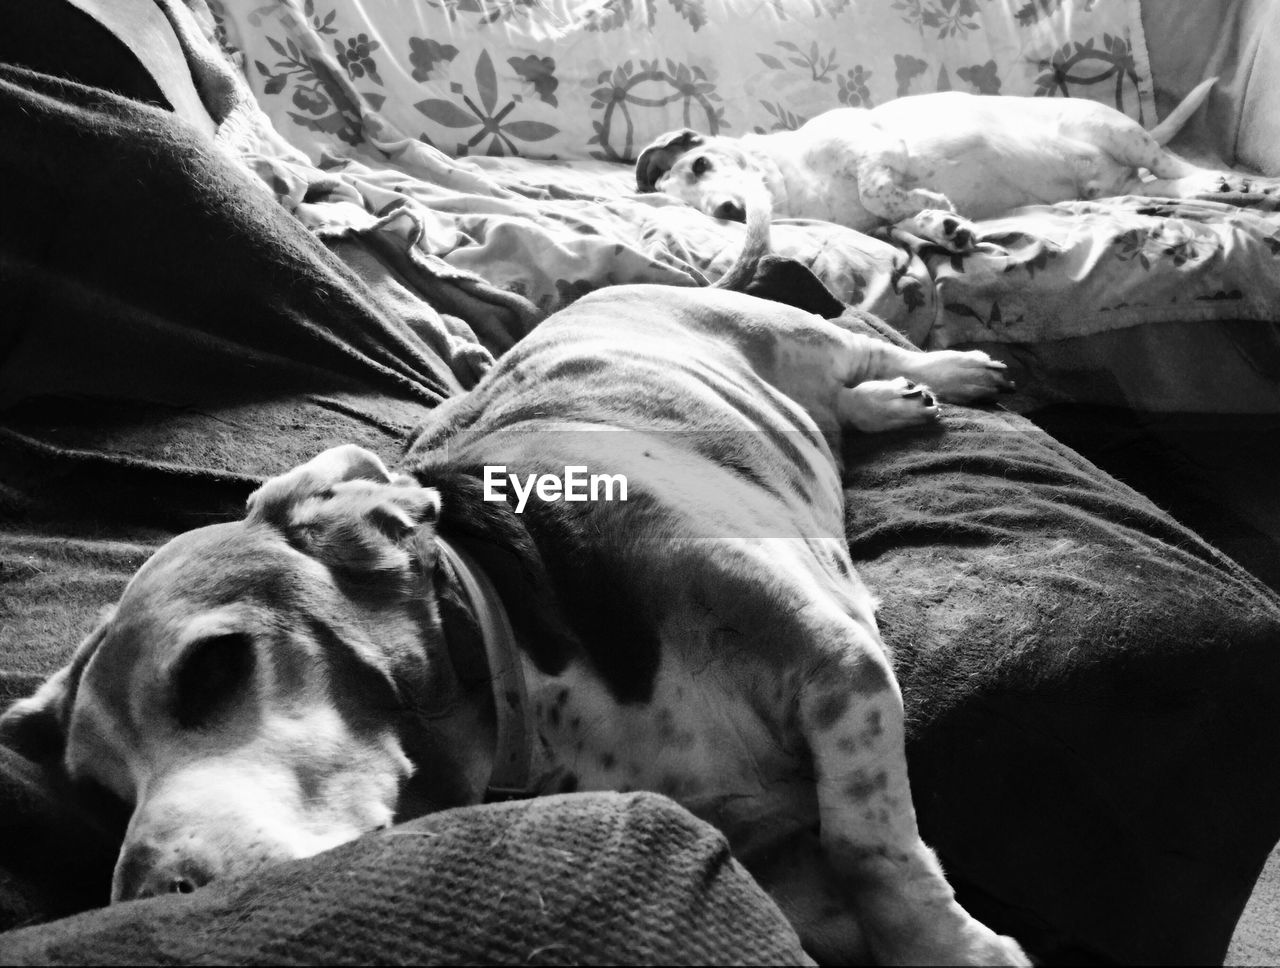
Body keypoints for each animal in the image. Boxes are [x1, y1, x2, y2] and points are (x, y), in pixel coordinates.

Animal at [0, 238, 1018, 962]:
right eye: (99, 792)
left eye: (212, 667)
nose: (148, 898)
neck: (524, 656)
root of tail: (606, 292)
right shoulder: (779, 850)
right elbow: (844, 873)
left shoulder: (838, 666)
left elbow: (871, 847)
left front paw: (950, 950)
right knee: (840, 401)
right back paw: (892, 403)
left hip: (794, 332)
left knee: (865, 345)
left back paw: (957, 372)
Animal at [634, 79, 1223, 249]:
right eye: (690, 202)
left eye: (700, 165)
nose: (728, 211)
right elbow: (905, 216)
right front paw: (944, 225)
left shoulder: (877, 150)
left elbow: (880, 189)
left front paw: (933, 203)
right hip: (1114, 183)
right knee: (1158, 185)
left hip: (1116, 130)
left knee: (1171, 164)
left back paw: (1221, 181)